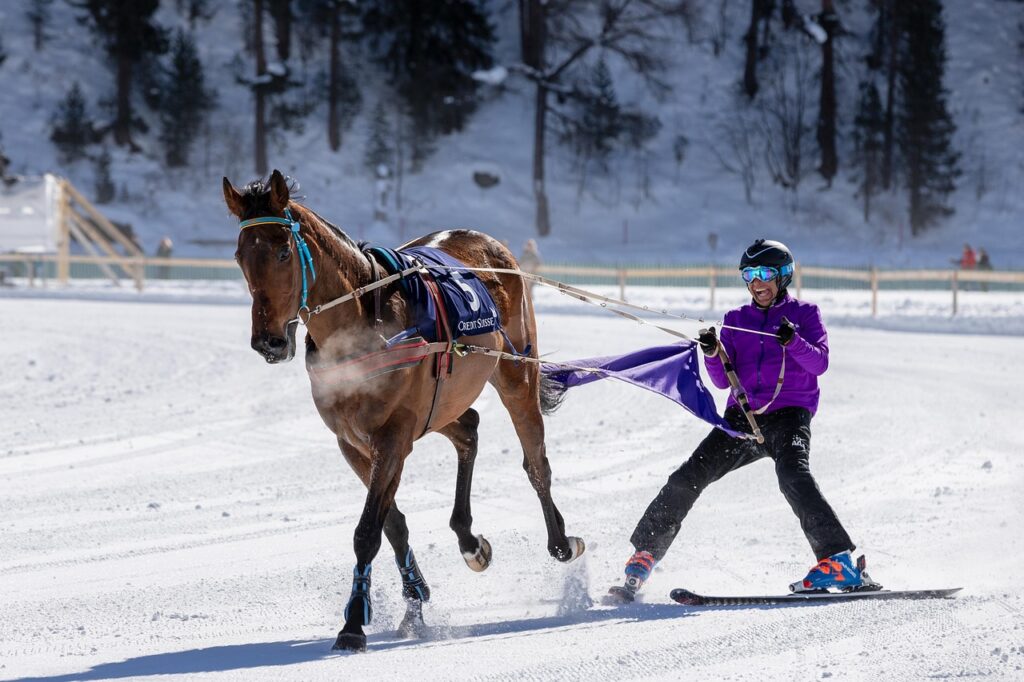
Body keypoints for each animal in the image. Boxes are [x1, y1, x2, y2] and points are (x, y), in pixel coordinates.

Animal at [223, 170, 585, 652]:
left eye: (283, 251)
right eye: (240, 256)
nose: (269, 342)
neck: (363, 323)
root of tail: (491, 244)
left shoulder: (392, 437)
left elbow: (367, 531)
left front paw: (353, 622)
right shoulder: (353, 442)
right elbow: (391, 524)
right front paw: (415, 600)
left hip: (515, 372)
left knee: (535, 461)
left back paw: (560, 540)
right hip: (442, 402)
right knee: (468, 430)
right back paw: (468, 539)